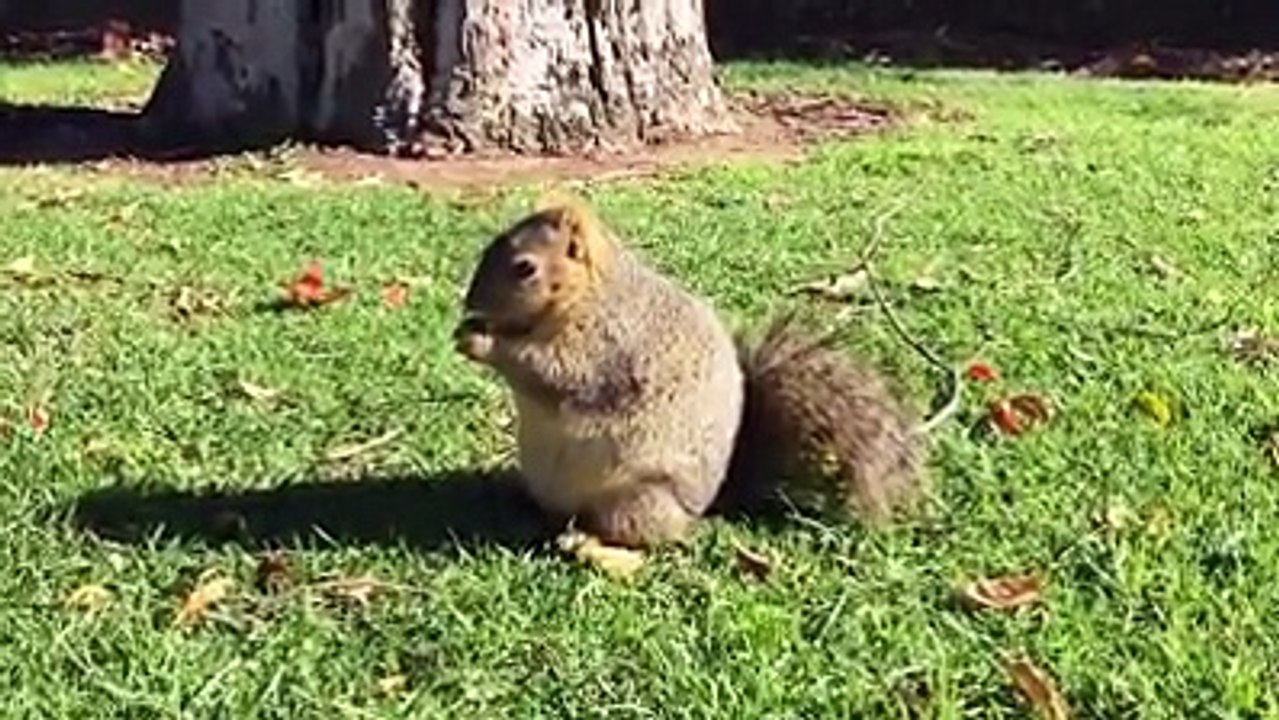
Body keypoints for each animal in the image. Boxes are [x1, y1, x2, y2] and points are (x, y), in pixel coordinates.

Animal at [454, 196, 931, 549]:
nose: (469, 303)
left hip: (638, 499)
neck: (589, 294)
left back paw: (588, 542)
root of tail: (713, 500)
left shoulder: (606, 347)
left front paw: (482, 343)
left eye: (525, 268)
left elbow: (550, 371)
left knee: (636, 533)